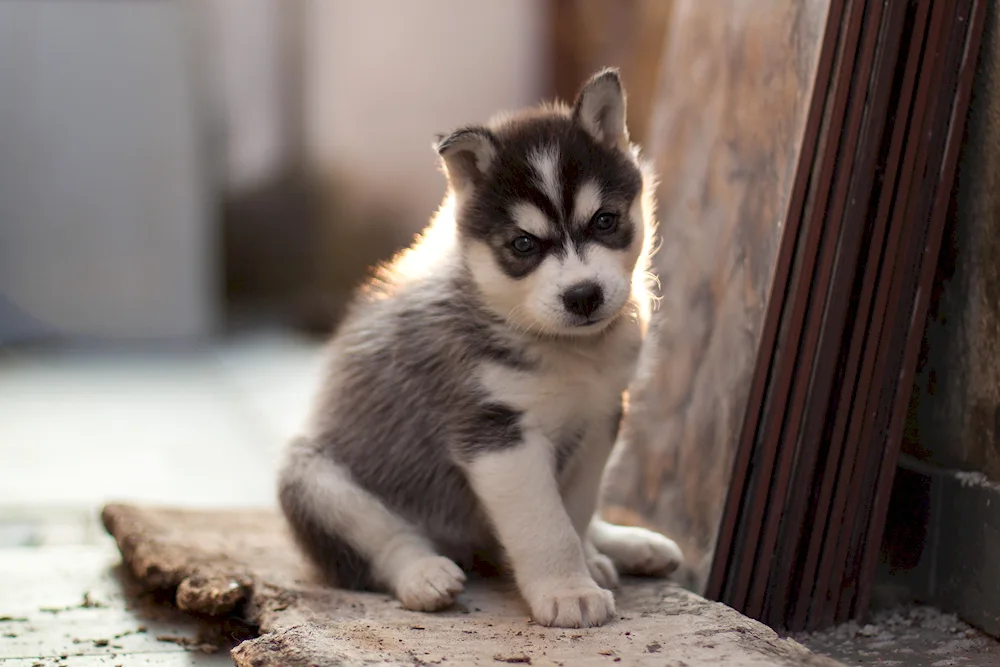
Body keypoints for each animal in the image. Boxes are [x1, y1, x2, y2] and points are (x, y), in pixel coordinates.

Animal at [282, 70, 688, 628]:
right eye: (523, 244)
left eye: (604, 221)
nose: (583, 296)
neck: (568, 350)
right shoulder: (496, 434)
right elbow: (545, 524)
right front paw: (568, 591)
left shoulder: (601, 416)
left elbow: (576, 507)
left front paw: (585, 562)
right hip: (312, 475)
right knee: (381, 542)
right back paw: (424, 574)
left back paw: (624, 547)